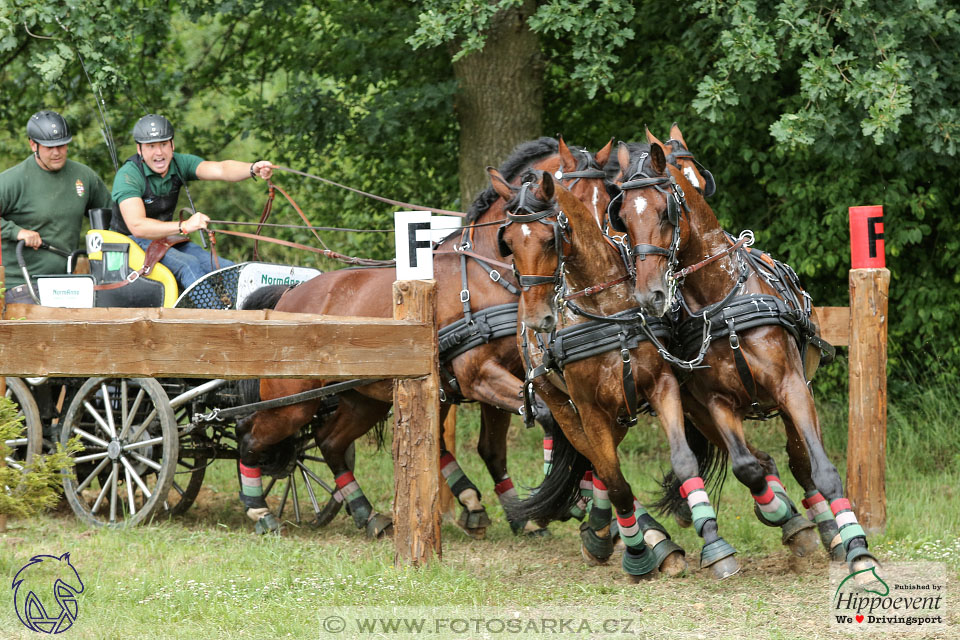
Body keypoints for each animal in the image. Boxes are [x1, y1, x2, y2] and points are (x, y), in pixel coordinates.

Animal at [232, 136, 616, 540]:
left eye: (607, 195)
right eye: (572, 200)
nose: (601, 253)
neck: (486, 275)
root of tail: (290, 294)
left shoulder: (507, 379)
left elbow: (494, 449)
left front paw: (522, 511)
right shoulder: (478, 376)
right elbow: (547, 419)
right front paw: (554, 501)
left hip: (362, 399)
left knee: (330, 442)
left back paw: (367, 513)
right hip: (292, 402)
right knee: (249, 434)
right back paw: (259, 509)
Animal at [496, 169, 688, 580]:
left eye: (549, 238)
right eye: (509, 243)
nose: (538, 320)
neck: (606, 308)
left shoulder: (659, 385)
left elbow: (679, 456)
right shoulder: (587, 407)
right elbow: (614, 481)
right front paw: (636, 553)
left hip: (619, 408)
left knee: (603, 459)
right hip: (562, 404)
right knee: (596, 459)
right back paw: (613, 532)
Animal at [616, 140, 876, 576]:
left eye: (664, 210)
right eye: (621, 217)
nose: (649, 295)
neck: (720, 299)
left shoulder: (792, 386)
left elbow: (821, 469)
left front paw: (856, 545)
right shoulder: (716, 402)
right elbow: (746, 466)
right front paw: (774, 510)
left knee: (801, 461)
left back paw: (829, 531)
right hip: (697, 413)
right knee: (761, 460)